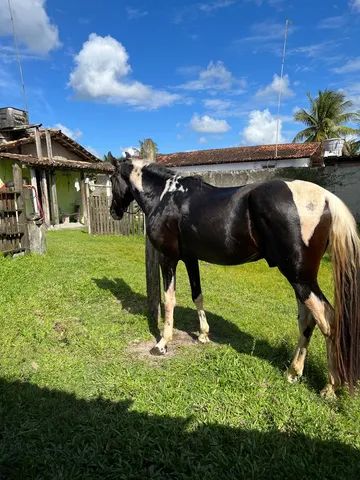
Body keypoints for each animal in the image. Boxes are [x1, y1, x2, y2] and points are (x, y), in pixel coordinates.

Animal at [109, 155, 360, 398]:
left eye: (112, 179)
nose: (114, 212)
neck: (166, 196)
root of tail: (326, 198)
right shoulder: (191, 259)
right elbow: (197, 294)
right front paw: (203, 334)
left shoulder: (168, 258)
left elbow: (169, 300)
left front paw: (162, 344)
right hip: (300, 279)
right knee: (307, 320)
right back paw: (293, 372)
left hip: (301, 279)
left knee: (328, 320)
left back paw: (330, 387)